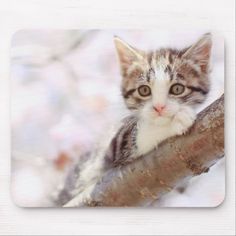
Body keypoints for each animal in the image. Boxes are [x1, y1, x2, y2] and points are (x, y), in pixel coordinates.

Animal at [54, 33, 212, 206]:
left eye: (177, 89)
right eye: (144, 90)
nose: (159, 107)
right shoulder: (112, 148)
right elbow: (139, 136)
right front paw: (177, 120)